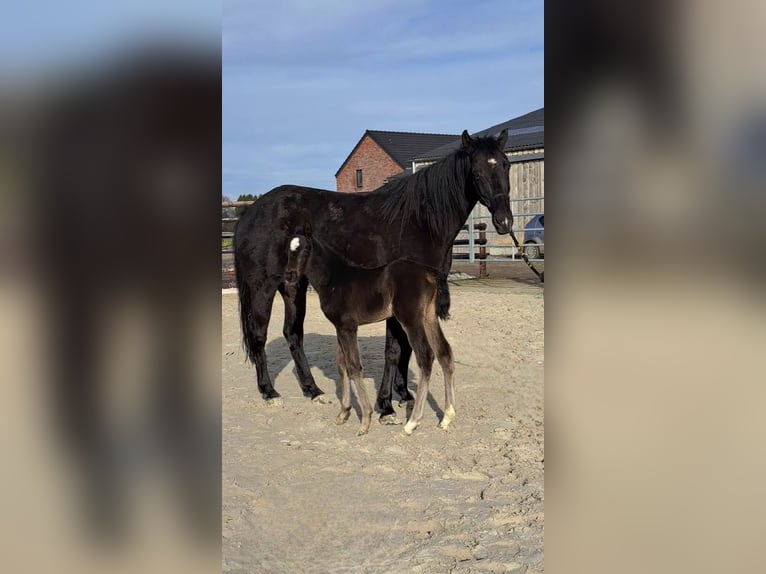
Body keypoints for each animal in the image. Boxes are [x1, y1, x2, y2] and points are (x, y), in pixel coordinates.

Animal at [284, 226, 454, 436]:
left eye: (305, 249)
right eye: (288, 251)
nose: (289, 276)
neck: (334, 279)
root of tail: (430, 273)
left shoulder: (348, 327)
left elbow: (354, 366)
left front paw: (365, 420)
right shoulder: (340, 327)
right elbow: (342, 366)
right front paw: (343, 413)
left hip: (411, 320)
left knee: (426, 357)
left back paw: (412, 423)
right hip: (429, 318)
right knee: (444, 353)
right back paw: (446, 417)